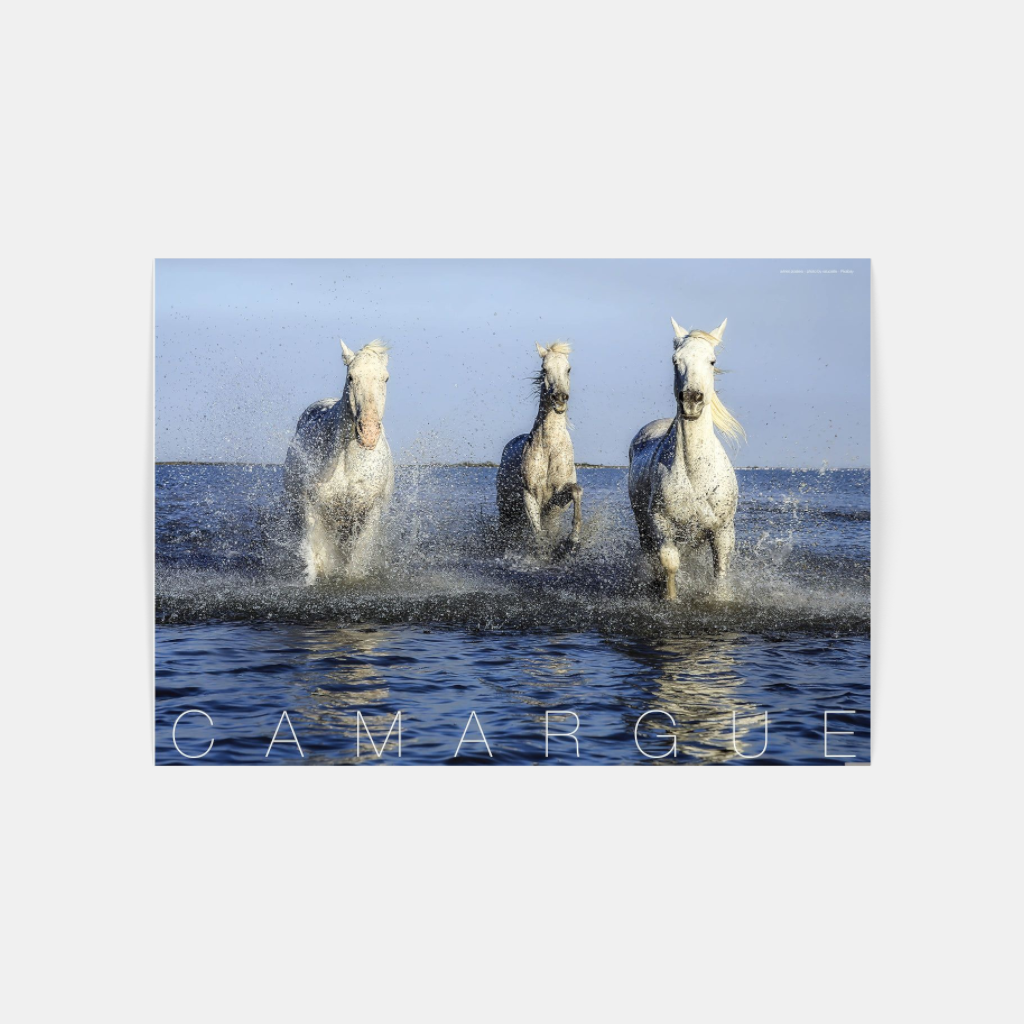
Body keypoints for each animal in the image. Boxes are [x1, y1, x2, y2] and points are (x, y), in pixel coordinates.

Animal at [284, 340, 394, 582]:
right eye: (351, 377)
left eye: (385, 378)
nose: (368, 433)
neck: (348, 461)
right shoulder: (313, 506)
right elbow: (318, 559)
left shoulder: (370, 510)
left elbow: (357, 560)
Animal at [496, 342, 582, 556]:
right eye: (544, 369)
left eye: (569, 369)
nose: (559, 398)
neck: (550, 448)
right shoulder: (530, 495)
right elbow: (537, 533)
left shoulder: (558, 499)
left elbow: (577, 490)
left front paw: (573, 541)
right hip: (505, 509)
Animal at [627, 318, 744, 601]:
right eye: (675, 360)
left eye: (712, 360)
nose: (692, 399)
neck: (696, 473)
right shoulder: (660, 523)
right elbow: (669, 563)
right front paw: (670, 598)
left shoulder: (723, 530)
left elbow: (720, 572)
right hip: (642, 524)